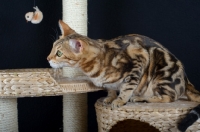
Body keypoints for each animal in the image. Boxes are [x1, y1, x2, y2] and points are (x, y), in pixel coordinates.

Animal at [47, 19, 200, 130]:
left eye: (59, 53)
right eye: (52, 47)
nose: (47, 58)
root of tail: (187, 80)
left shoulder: (138, 58)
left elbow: (127, 87)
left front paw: (120, 100)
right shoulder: (109, 82)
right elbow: (110, 88)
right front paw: (110, 97)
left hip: (161, 69)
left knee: (169, 97)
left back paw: (141, 98)